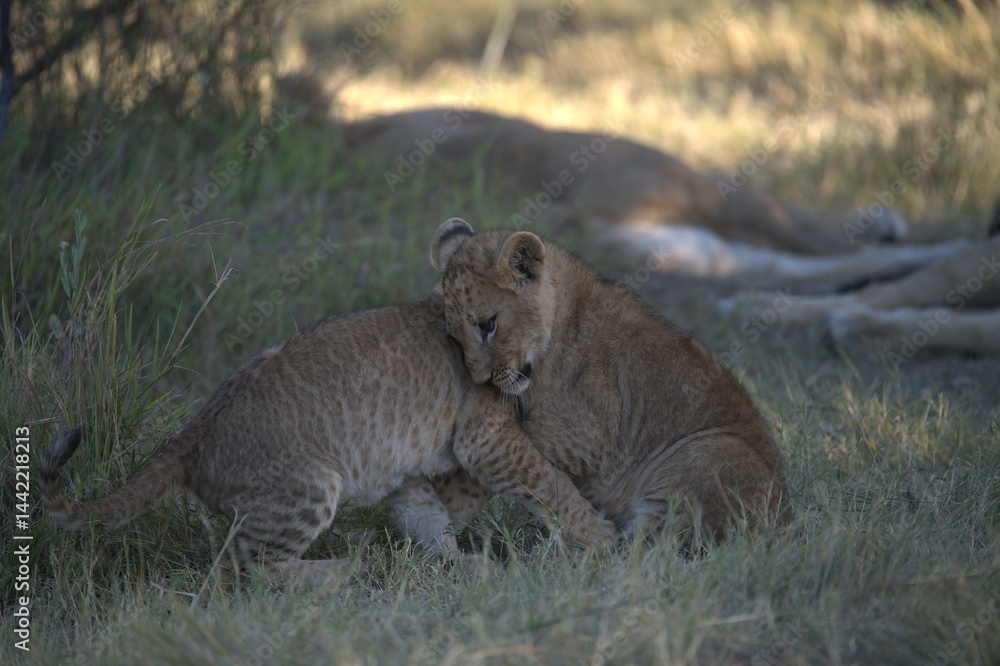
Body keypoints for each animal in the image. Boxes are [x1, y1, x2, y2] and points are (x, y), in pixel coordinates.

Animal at [40, 299, 614, 585]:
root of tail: (195, 431)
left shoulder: (409, 471)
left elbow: (428, 518)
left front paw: (453, 564)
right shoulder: (487, 438)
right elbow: (551, 484)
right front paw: (605, 540)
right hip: (310, 484)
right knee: (243, 569)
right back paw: (344, 572)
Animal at [428, 218, 788, 542]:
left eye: (488, 325)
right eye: (455, 337)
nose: (479, 379)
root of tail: (782, 518)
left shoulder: (590, 441)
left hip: (706, 455)